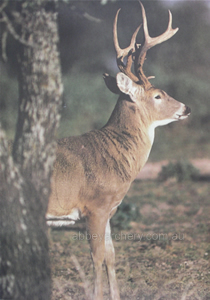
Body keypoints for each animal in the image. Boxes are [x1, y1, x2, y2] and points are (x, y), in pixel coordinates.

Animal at [46, 2, 191, 300]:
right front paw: (96, 294)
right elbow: (97, 256)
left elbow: (111, 255)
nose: (186, 108)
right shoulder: (94, 206)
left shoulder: (110, 208)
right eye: (158, 95)